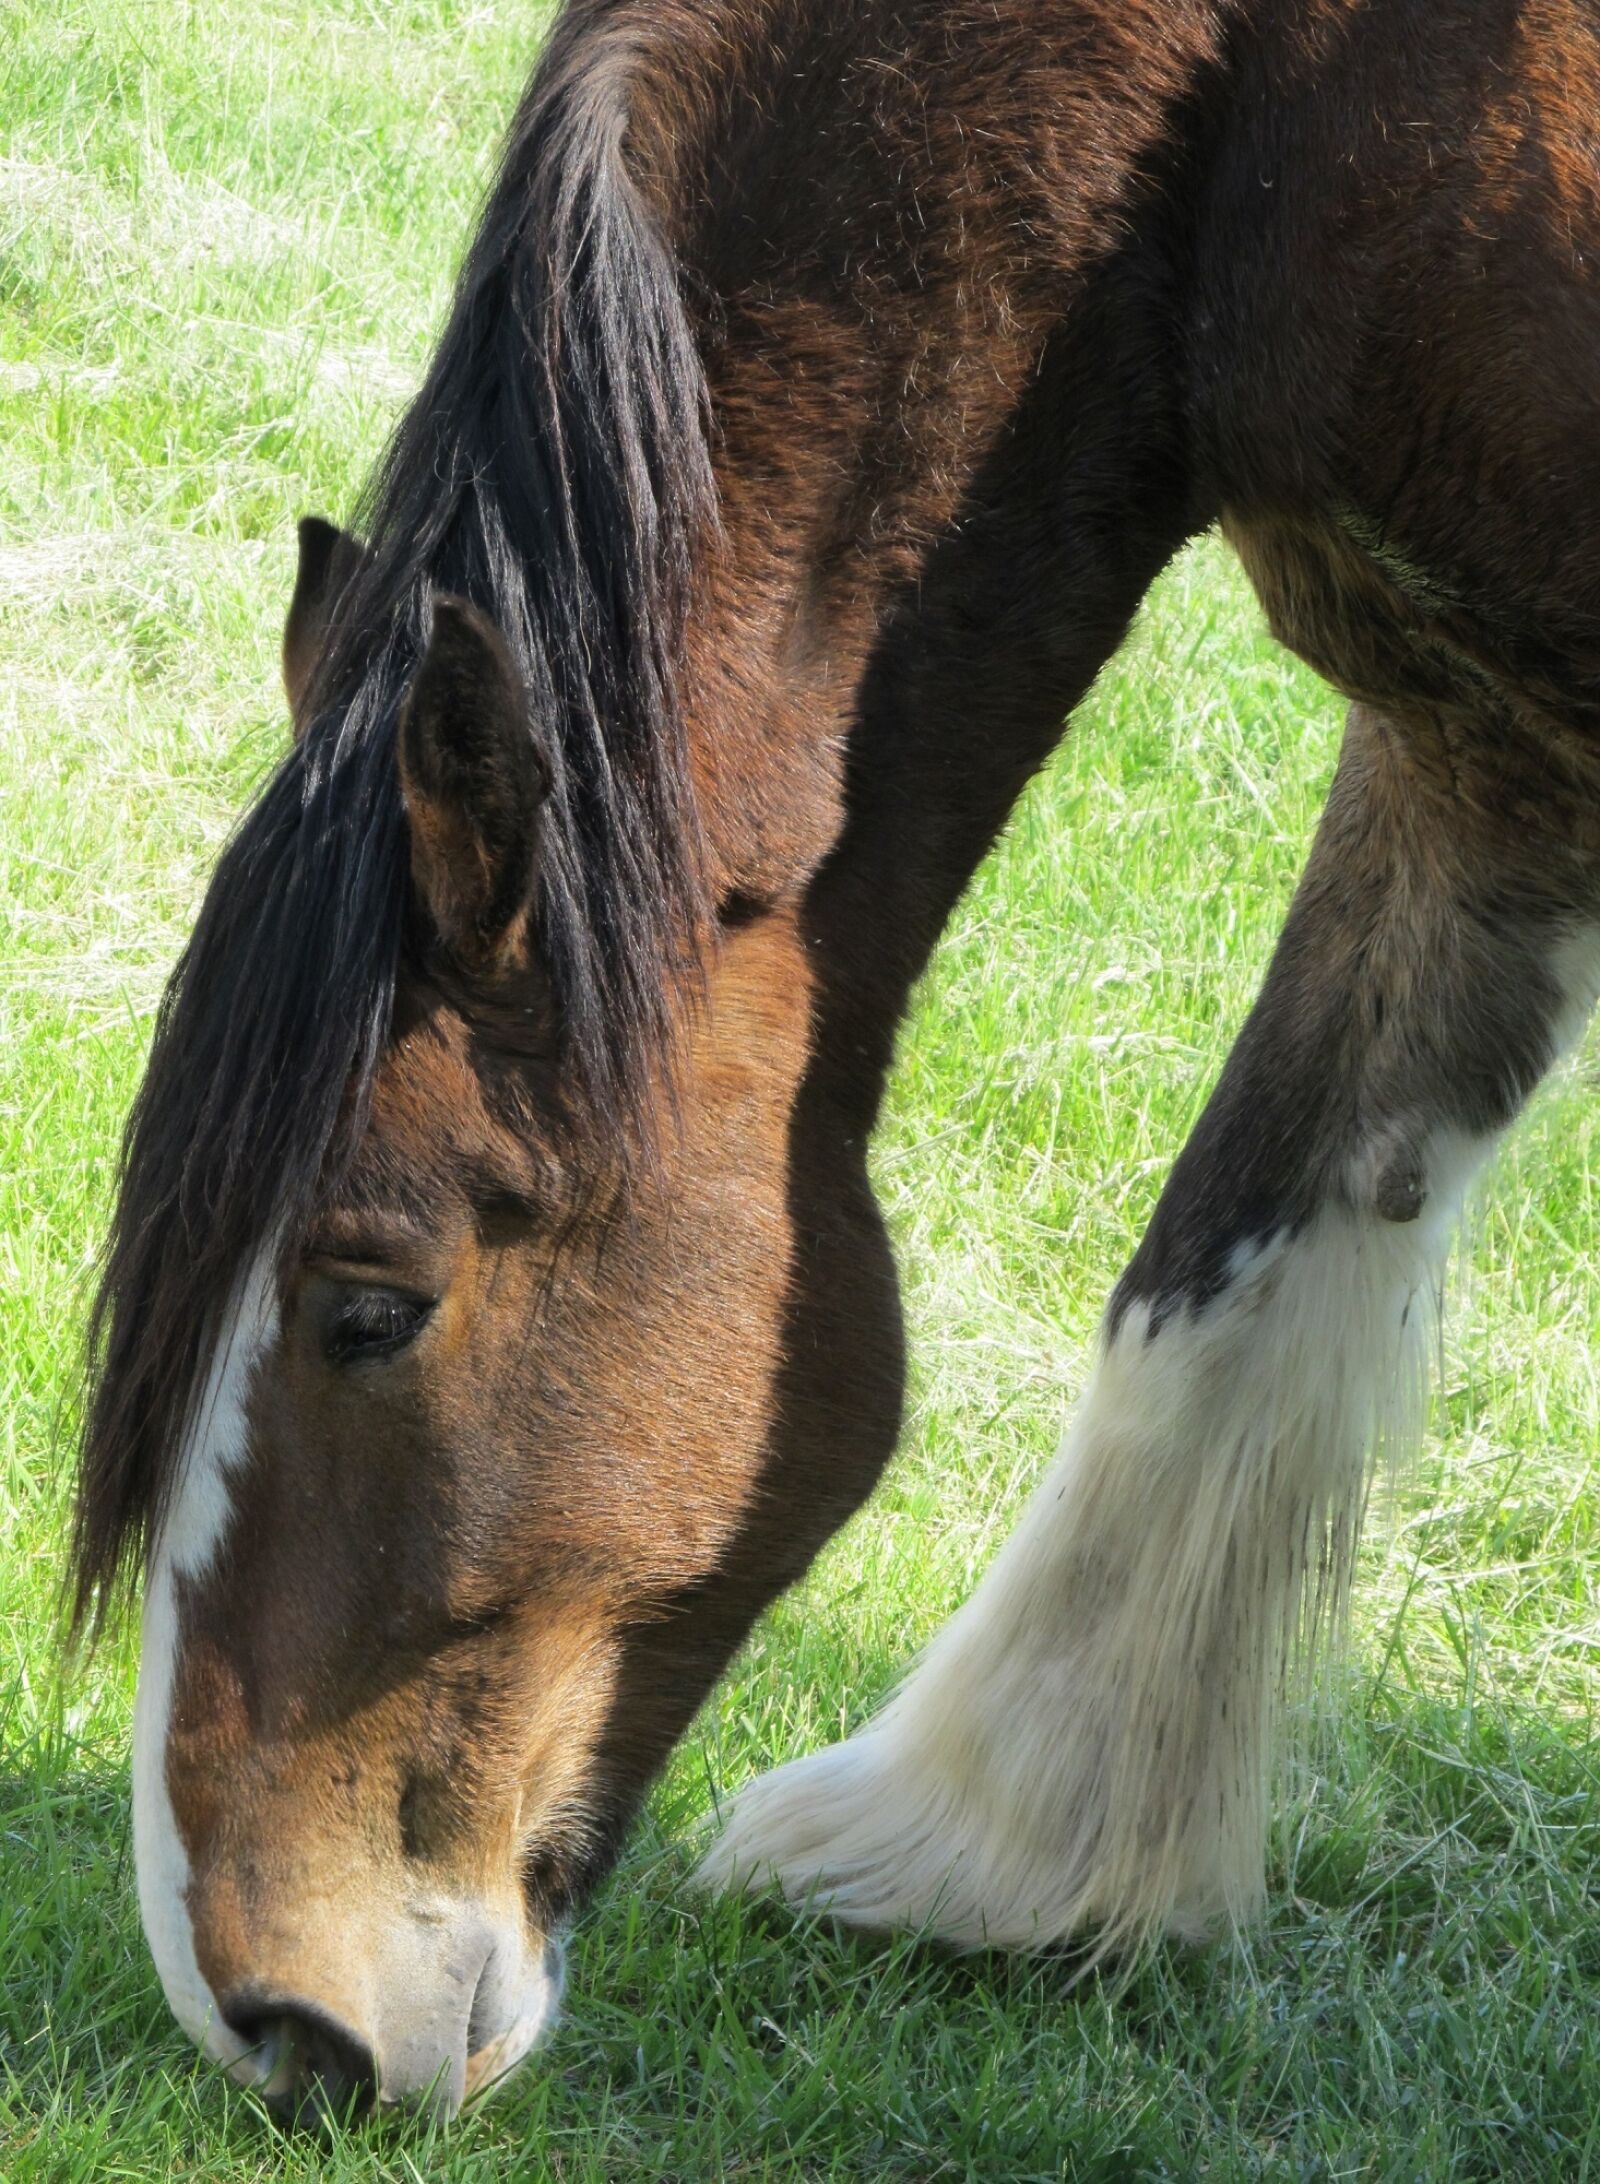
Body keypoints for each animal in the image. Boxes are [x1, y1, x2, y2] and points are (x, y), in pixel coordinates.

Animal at [71, 0, 1600, 2125]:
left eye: (370, 1305)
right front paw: (1000, 1854)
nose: (273, 2026)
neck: (1288, 81)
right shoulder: (1482, 736)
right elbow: (1241, 1245)